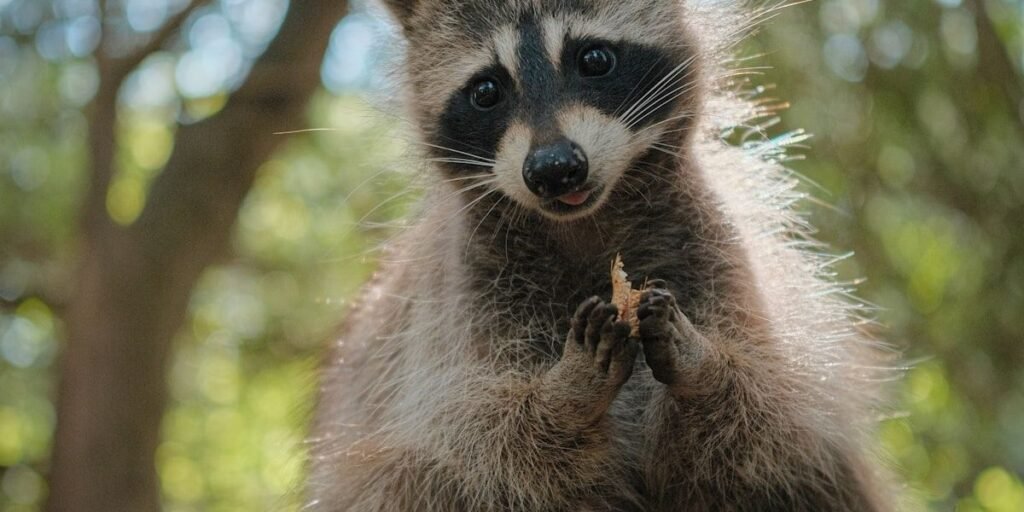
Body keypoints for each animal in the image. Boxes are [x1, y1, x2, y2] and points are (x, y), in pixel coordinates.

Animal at [306, 0, 899, 510]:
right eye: (486, 90)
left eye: (593, 58)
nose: (554, 169)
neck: (587, 225)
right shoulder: (457, 314)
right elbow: (478, 453)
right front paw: (561, 396)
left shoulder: (716, 258)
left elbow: (774, 429)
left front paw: (706, 366)